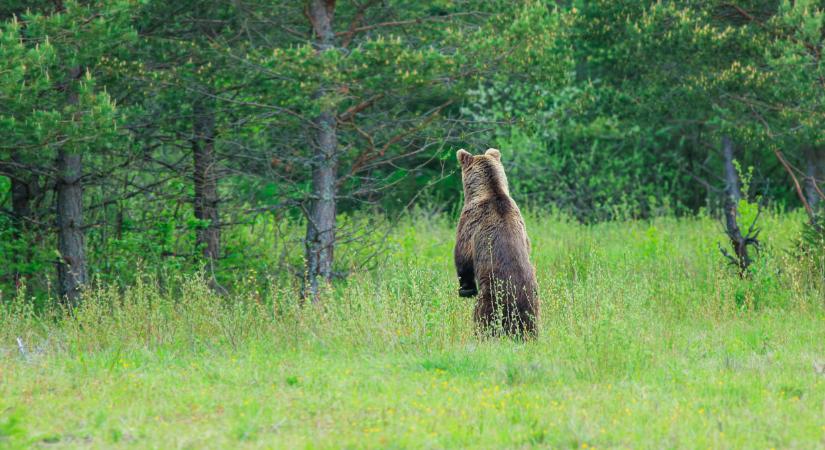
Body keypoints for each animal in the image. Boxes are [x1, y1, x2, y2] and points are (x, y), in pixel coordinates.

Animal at [454, 149, 536, 336]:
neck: (491, 191)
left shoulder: (469, 223)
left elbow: (462, 257)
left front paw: (465, 289)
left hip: (490, 297)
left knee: (482, 319)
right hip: (531, 302)